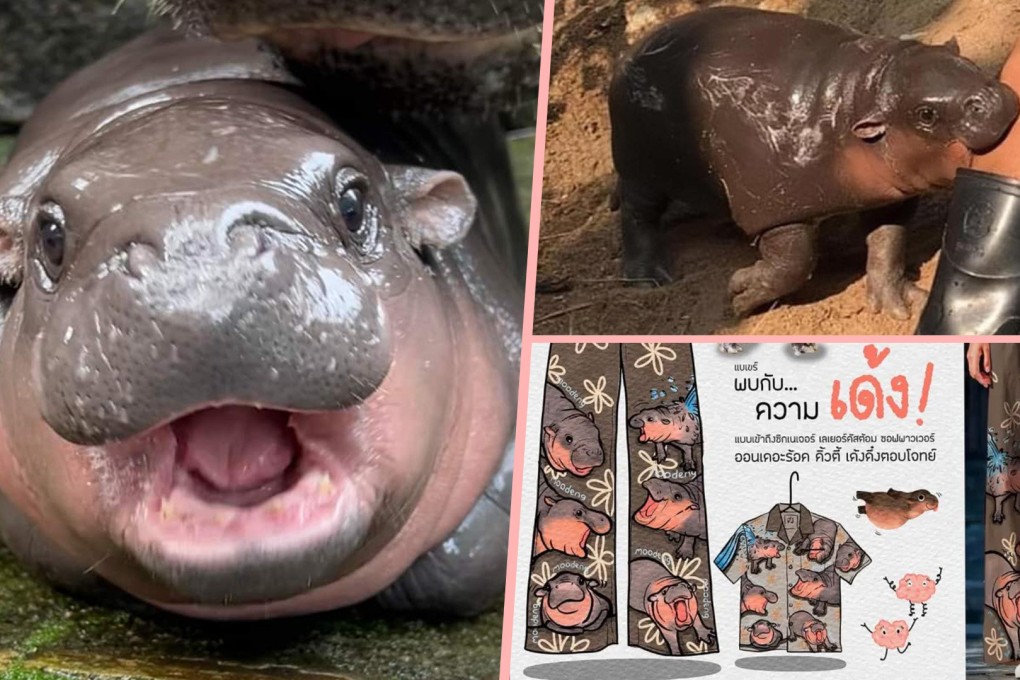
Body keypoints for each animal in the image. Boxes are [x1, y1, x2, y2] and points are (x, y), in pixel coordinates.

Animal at [609, 6, 1019, 318]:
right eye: (926, 114)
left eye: (967, 62)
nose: (992, 99)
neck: (861, 96)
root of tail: (628, 54)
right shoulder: (775, 206)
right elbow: (795, 263)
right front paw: (739, 295)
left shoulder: (889, 194)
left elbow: (888, 241)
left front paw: (902, 303)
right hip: (640, 167)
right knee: (637, 214)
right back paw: (649, 278)